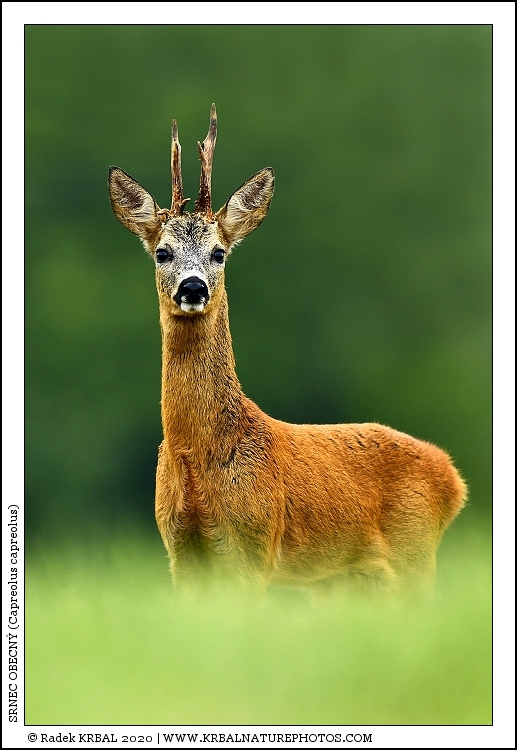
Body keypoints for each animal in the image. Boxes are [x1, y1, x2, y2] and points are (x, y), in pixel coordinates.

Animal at [108, 104, 466, 596]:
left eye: (219, 252)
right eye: (162, 253)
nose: (193, 287)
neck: (198, 458)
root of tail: (453, 477)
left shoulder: (254, 542)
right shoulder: (178, 549)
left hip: (414, 557)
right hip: (342, 582)